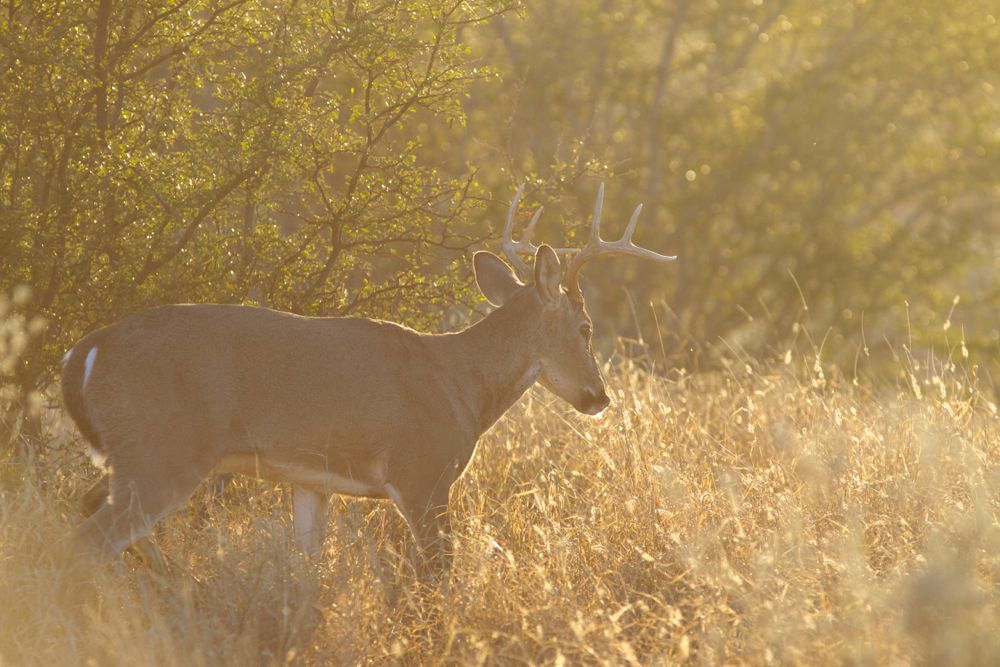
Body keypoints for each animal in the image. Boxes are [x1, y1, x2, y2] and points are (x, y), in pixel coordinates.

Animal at [60, 183, 672, 576]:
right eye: (586, 327)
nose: (599, 397)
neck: (460, 384)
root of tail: (85, 349)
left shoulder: (312, 480)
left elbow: (306, 573)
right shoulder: (423, 474)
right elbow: (439, 581)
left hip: (130, 457)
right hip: (162, 453)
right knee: (82, 546)